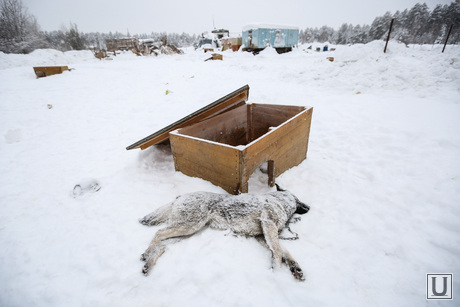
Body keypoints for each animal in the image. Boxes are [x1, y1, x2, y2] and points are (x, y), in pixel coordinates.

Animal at [137, 185, 310, 282]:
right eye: (299, 199)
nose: (308, 207)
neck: (280, 201)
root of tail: (180, 197)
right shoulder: (268, 226)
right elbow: (279, 251)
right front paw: (277, 272)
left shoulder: (262, 236)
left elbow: (283, 251)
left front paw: (294, 267)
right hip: (189, 226)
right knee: (159, 232)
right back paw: (147, 253)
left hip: (187, 232)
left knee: (163, 245)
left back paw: (148, 264)